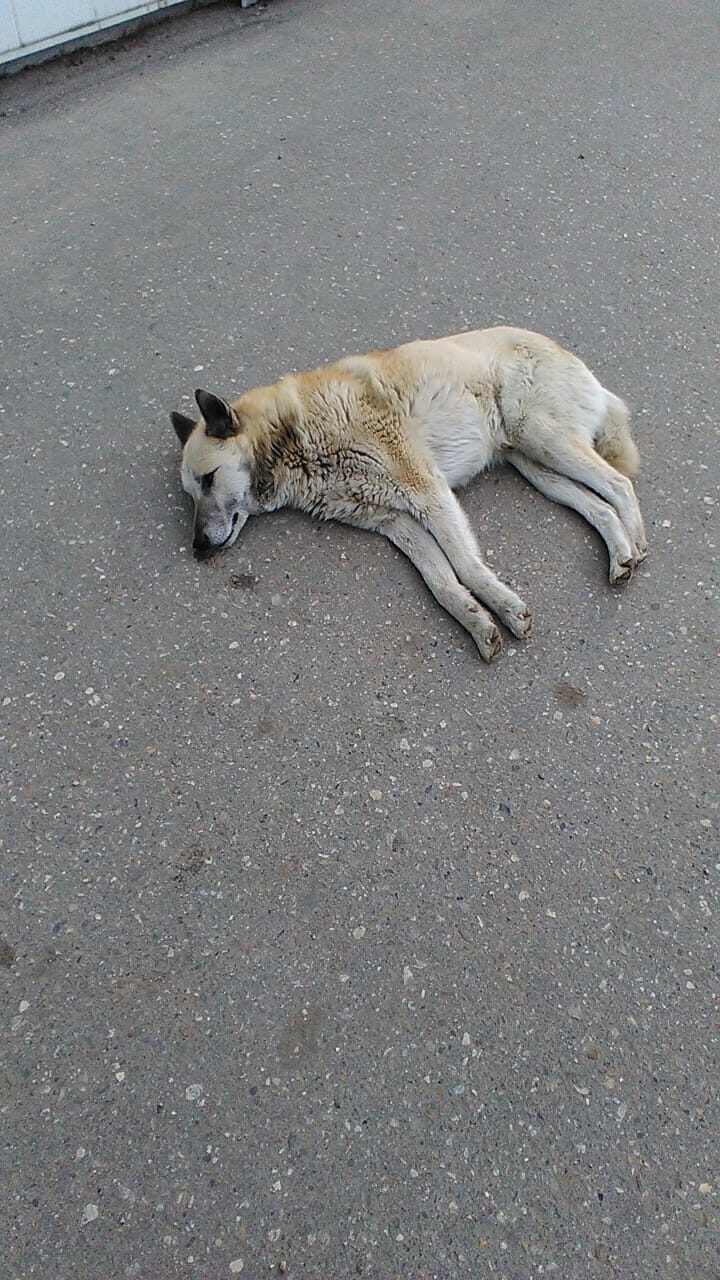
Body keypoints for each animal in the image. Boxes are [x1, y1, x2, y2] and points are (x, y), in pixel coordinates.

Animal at [169, 325, 645, 665]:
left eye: (208, 479)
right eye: (191, 495)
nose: (197, 547)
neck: (296, 437)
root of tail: (581, 367)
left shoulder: (426, 491)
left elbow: (467, 568)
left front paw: (507, 609)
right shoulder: (396, 522)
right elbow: (443, 583)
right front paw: (476, 622)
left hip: (540, 437)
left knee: (618, 484)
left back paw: (637, 543)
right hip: (536, 465)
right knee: (598, 505)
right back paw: (621, 554)